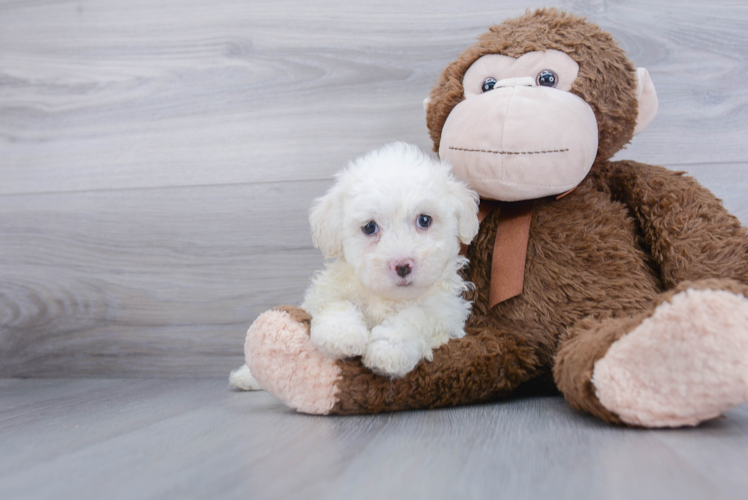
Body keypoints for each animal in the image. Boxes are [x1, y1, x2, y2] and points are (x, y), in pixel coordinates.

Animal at [229, 143, 480, 388]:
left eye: (424, 220)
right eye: (369, 227)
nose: (402, 265)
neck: (387, 297)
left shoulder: (445, 313)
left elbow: (416, 317)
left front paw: (389, 349)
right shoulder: (329, 291)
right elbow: (337, 304)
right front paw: (341, 335)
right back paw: (244, 377)